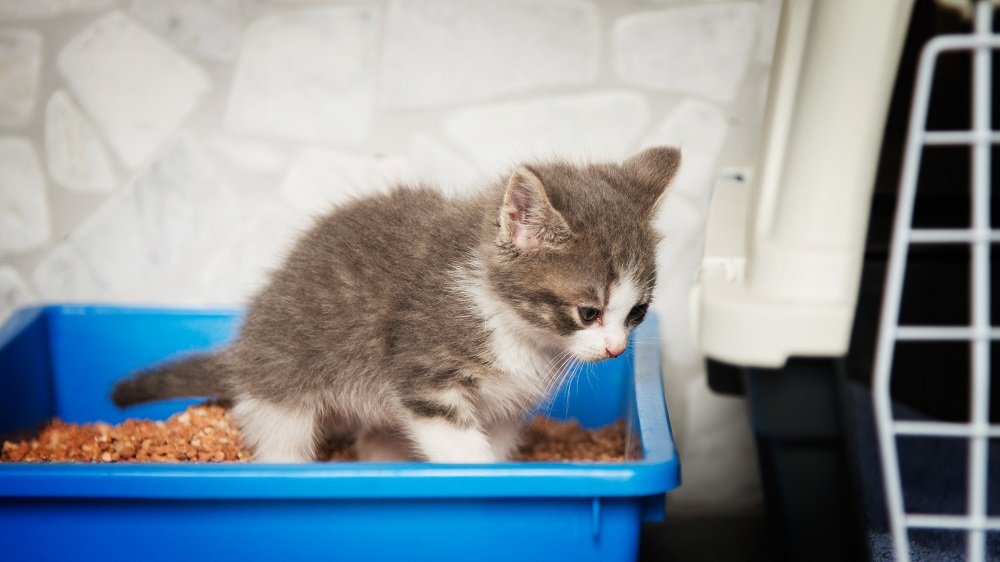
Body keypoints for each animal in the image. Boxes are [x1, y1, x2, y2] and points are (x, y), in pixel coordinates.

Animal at [113, 147, 684, 462]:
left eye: (636, 313)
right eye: (588, 312)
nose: (615, 350)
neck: (512, 326)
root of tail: (246, 345)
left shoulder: (505, 406)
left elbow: (496, 442)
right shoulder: (425, 374)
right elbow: (460, 446)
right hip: (283, 375)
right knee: (280, 434)